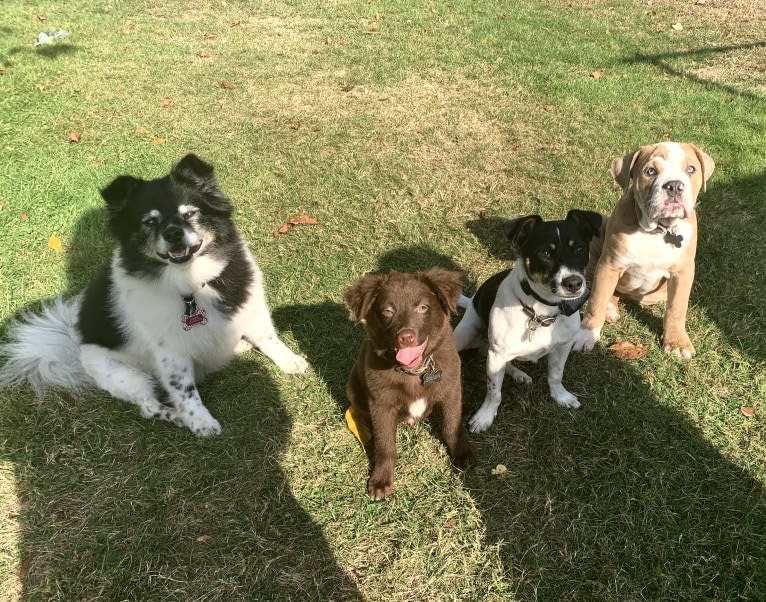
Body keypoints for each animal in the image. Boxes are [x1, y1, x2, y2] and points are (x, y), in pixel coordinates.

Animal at [0, 154, 306, 436]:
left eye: (189, 213)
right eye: (149, 221)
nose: (173, 233)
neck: (191, 286)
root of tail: (76, 343)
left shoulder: (249, 306)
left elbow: (268, 338)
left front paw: (291, 361)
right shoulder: (170, 352)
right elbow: (184, 390)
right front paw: (201, 422)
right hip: (124, 376)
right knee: (148, 406)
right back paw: (178, 417)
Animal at [452, 211, 604, 432]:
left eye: (579, 249)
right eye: (545, 253)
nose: (574, 283)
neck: (541, 312)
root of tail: (472, 299)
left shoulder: (563, 346)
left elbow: (556, 375)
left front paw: (561, 397)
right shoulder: (497, 354)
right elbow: (494, 392)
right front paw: (484, 417)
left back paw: (519, 374)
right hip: (465, 335)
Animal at [576, 141, 720, 356]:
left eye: (691, 169)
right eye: (650, 171)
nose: (674, 185)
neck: (658, 230)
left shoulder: (683, 272)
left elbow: (677, 308)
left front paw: (677, 343)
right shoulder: (610, 264)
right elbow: (597, 301)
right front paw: (586, 335)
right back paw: (609, 308)